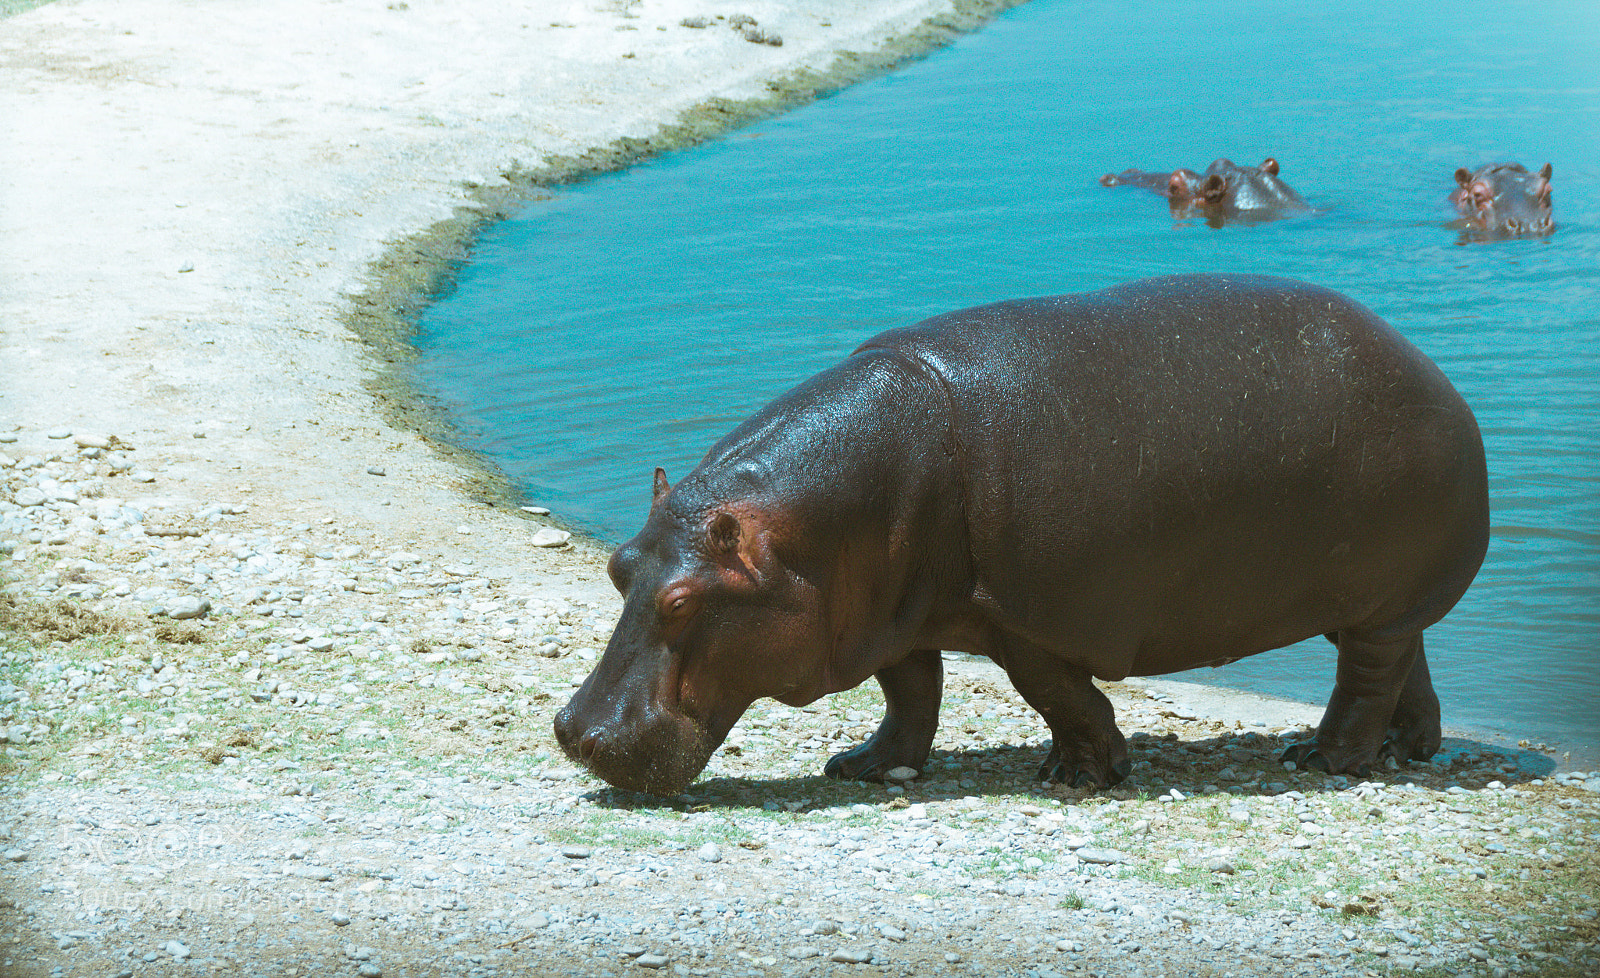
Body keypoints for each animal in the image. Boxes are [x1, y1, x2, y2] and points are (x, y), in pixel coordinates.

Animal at [554, 274, 1489, 796]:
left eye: (682, 602)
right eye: (618, 567)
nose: (575, 733)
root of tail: (1437, 376)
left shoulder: (1023, 618)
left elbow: (1056, 694)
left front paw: (1080, 776)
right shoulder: (889, 614)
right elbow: (910, 693)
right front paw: (864, 767)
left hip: (1376, 598)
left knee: (1365, 678)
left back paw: (1322, 760)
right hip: (1377, 602)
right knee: (1405, 662)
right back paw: (1406, 750)